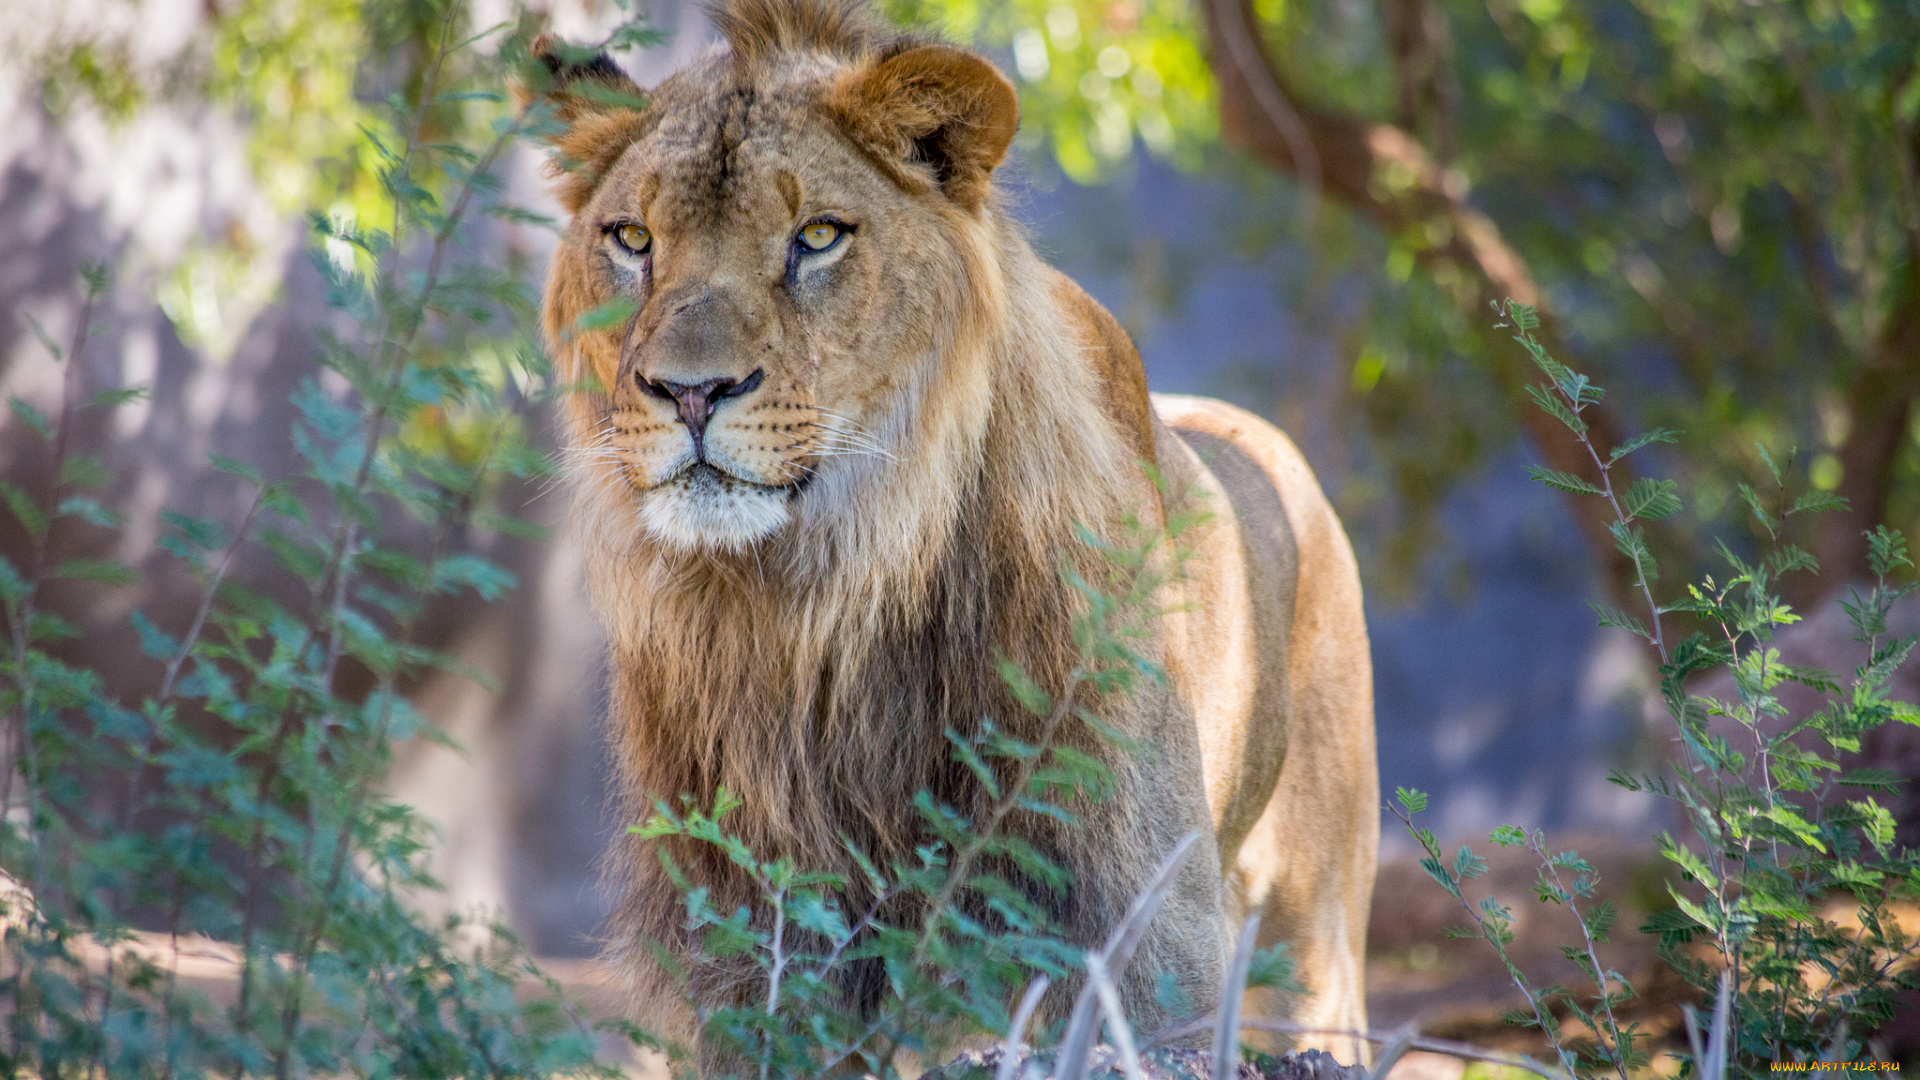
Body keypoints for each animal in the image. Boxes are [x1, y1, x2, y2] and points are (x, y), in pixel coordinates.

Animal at [526, 0, 1382, 1060]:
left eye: (817, 235)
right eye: (633, 237)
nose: (689, 391)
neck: (816, 603)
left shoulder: (1139, 934)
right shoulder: (754, 954)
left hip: (1314, 932)